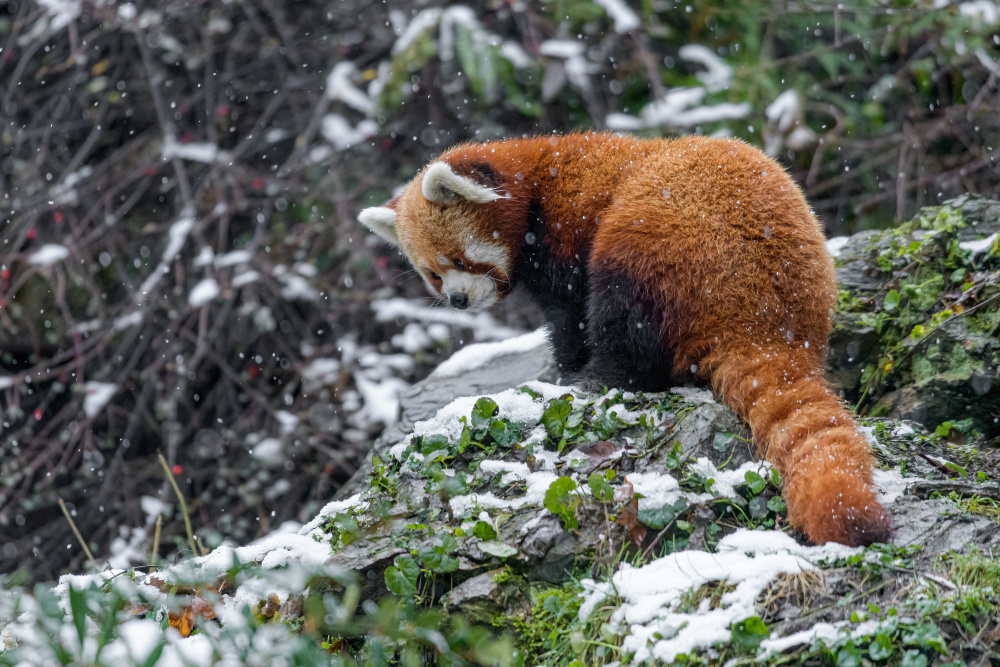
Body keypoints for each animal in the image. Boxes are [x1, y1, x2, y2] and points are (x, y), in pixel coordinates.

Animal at [360, 132, 892, 548]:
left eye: (459, 260)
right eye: (432, 274)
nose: (457, 301)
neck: (534, 183)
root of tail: (767, 324)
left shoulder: (565, 233)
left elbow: (572, 318)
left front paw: (567, 372)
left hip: (662, 238)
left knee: (625, 319)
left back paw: (597, 380)